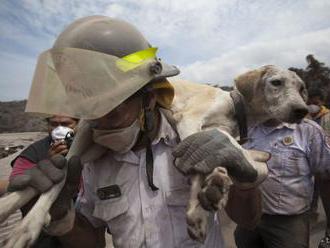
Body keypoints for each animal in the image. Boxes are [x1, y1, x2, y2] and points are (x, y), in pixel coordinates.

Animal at [169, 64, 308, 242]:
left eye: (301, 88)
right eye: (276, 82)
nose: (302, 110)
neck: (235, 110)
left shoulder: (209, 137)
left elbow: (202, 169)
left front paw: (197, 214)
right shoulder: (189, 119)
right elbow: (200, 171)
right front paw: (213, 184)